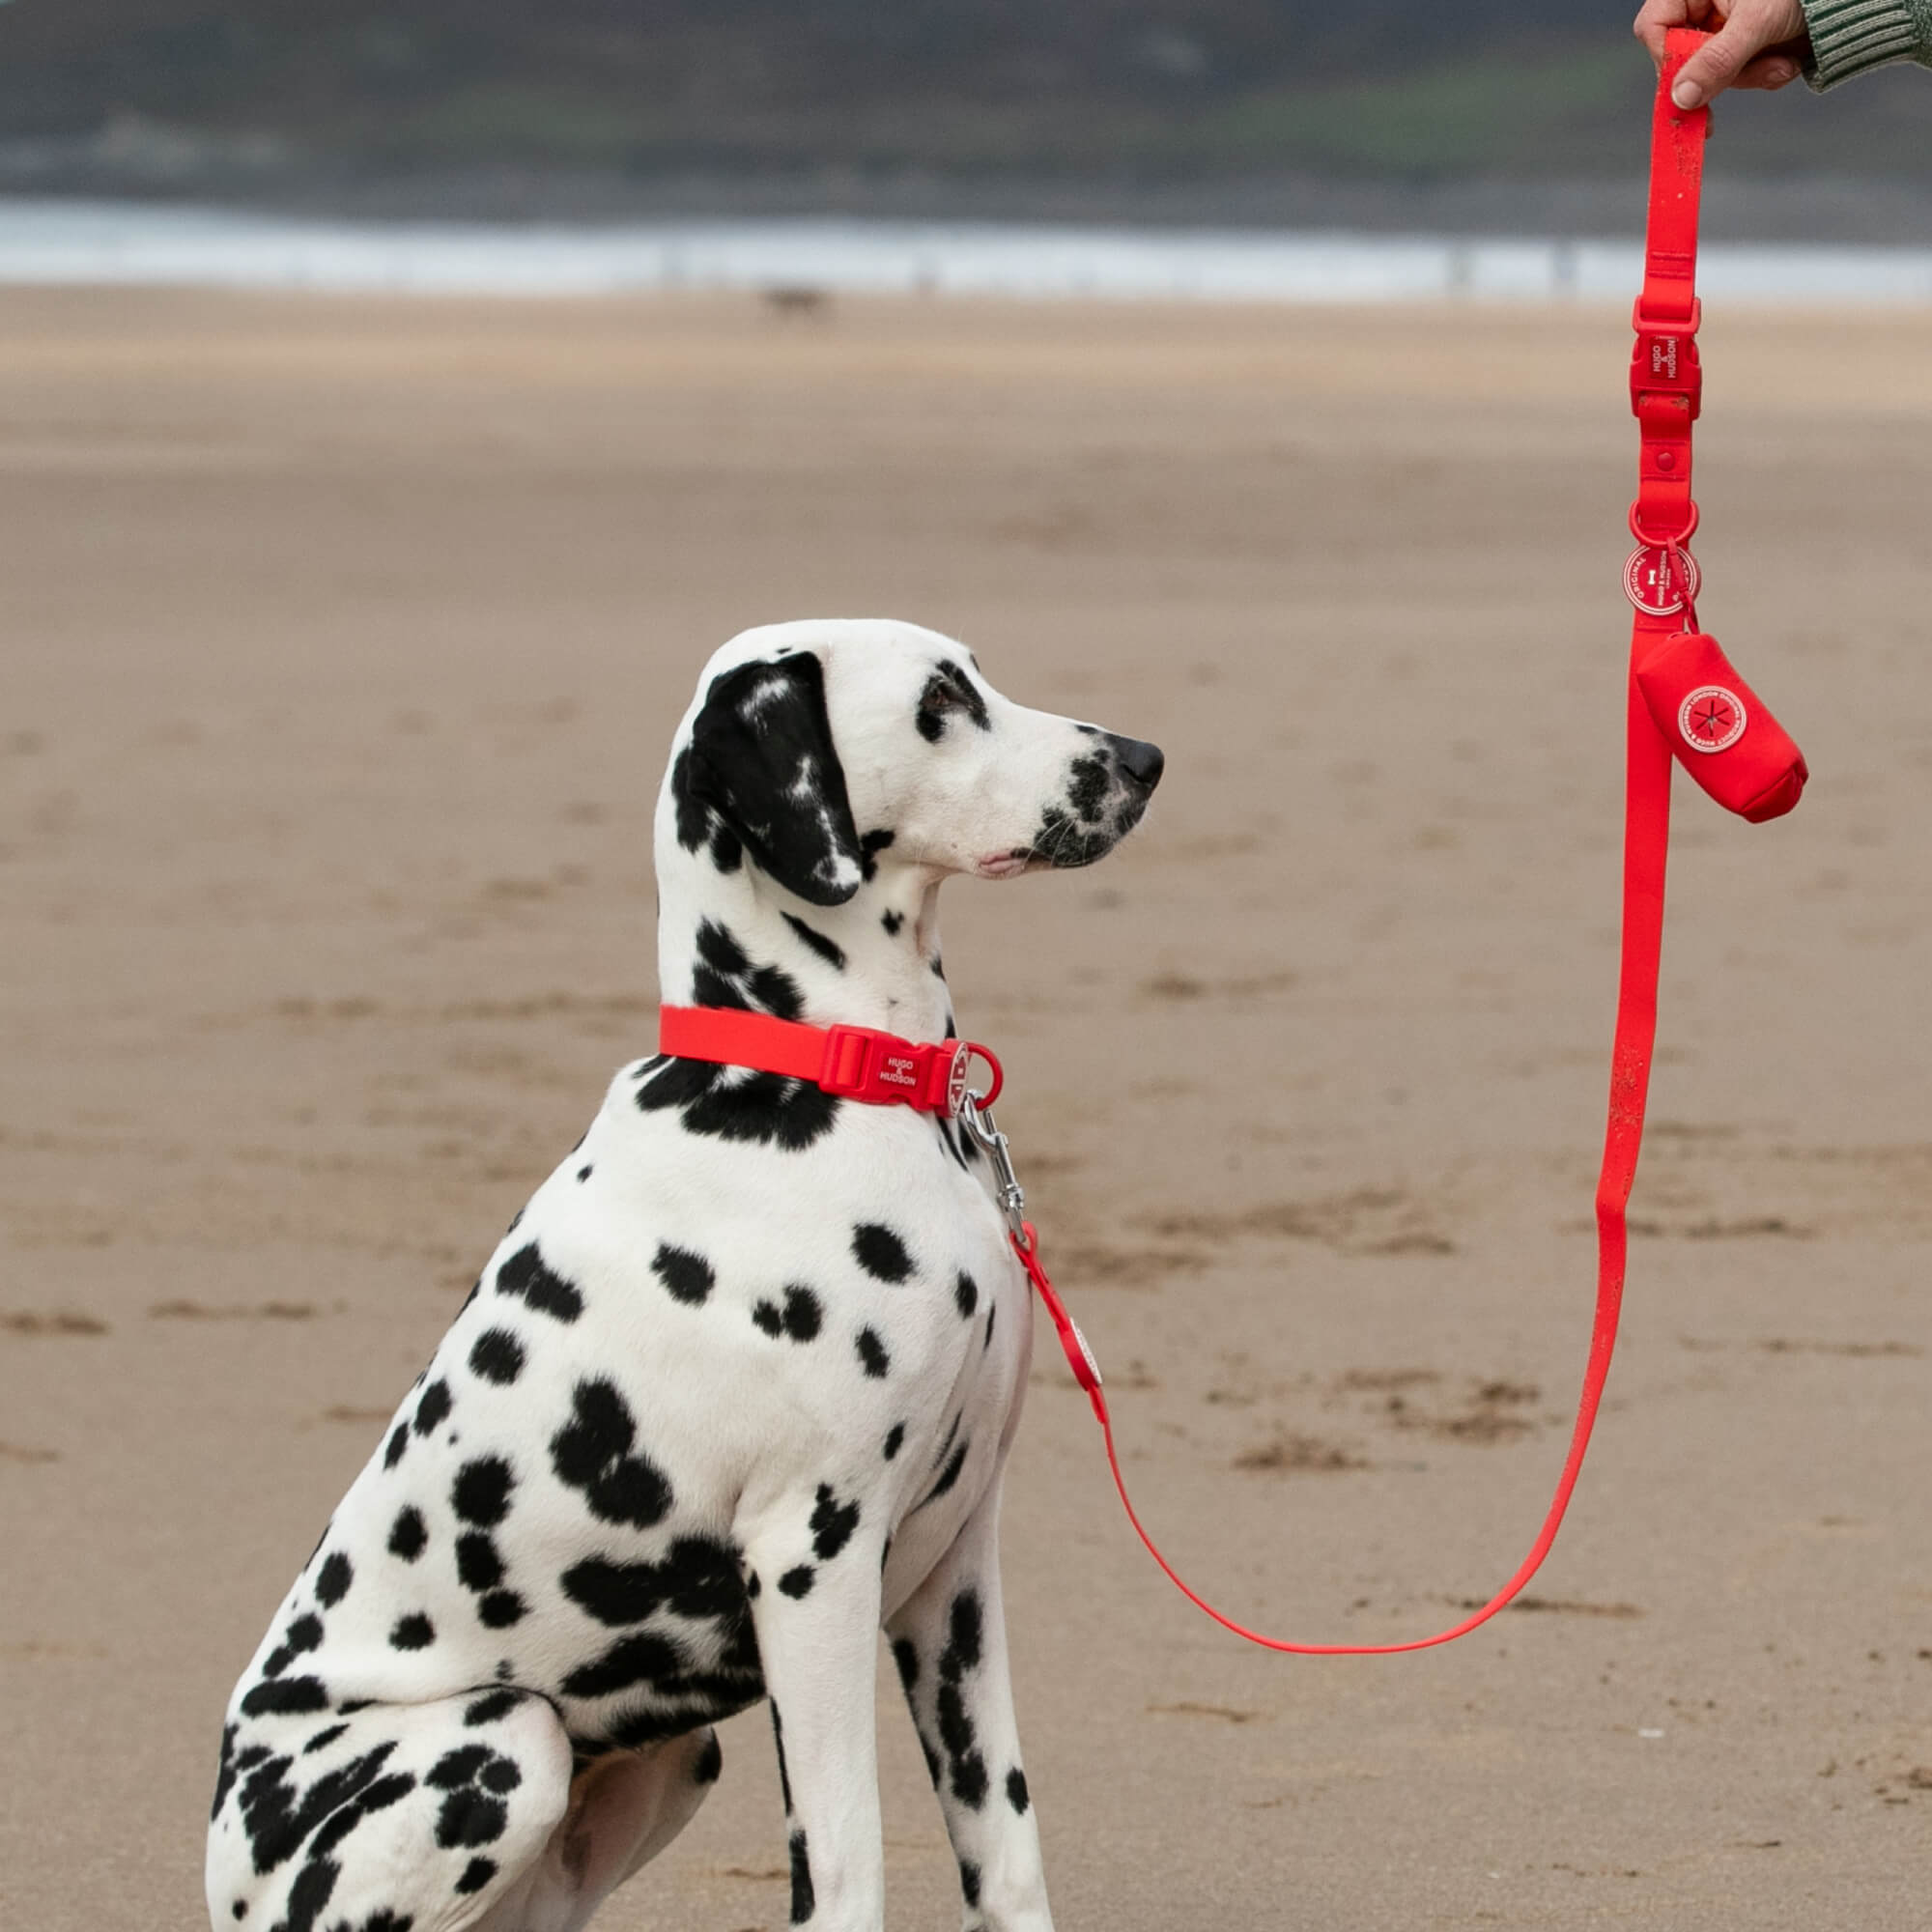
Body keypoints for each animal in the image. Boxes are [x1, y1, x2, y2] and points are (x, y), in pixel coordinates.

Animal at [204, 618, 1159, 1932]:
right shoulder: (811, 1558)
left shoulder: (953, 1569)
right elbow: (845, 1865)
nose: (1143, 760)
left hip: (658, 1763)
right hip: (502, 1744)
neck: (824, 1071)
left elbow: (1005, 1851)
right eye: (941, 698)